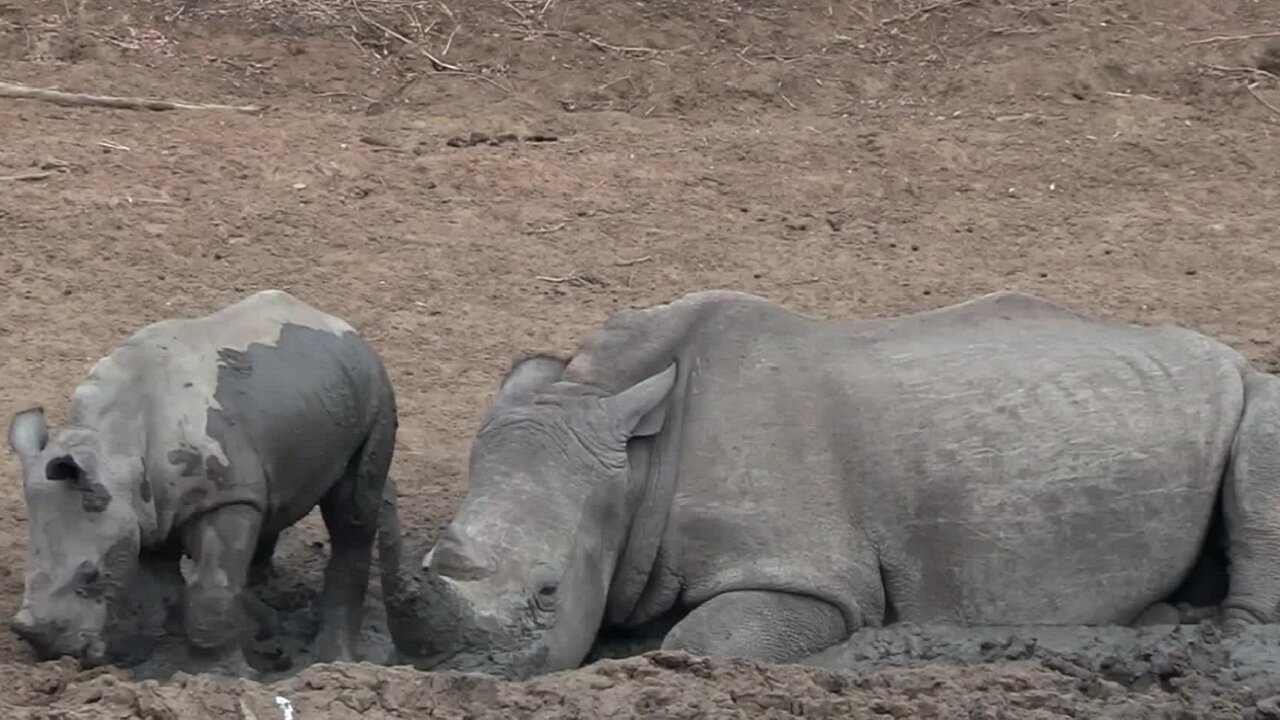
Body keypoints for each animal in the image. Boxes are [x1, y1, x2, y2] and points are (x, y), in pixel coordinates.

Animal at [6, 285, 394, 671]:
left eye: (91, 575)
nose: (50, 650)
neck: (110, 446)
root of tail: (341, 326)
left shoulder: (223, 496)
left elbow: (212, 589)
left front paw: (221, 676)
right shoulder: (150, 512)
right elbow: (162, 592)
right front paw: (161, 661)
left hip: (376, 389)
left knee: (353, 514)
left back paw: (336, 660)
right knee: (271, 502)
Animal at [384, 288, 1280, 676]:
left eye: (548, 591)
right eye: (425, 567)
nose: (455, 674)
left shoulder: (810, 574)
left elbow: (705, 640)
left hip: (1250, 385)